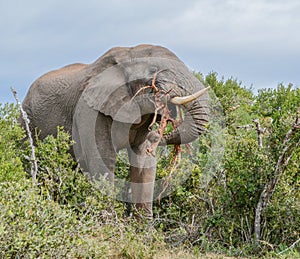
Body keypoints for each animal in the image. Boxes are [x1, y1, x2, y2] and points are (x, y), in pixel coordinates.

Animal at [21, 44, 209, 219]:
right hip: (26, 119)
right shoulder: (90, 111)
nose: (158, 135)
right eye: (153, 70)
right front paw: (109, 223)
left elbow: (143, 161)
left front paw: (145, 230)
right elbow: (103, 159)